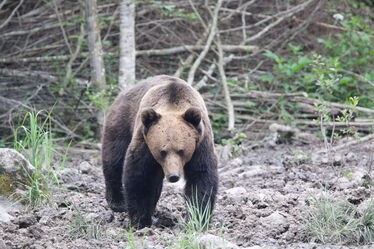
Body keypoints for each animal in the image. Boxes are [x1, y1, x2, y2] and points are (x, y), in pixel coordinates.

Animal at [101, 74, 219, 228]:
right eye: (162, 151)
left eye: (181, 151)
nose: (173, 176)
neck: (173, 105)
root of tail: (123, 93)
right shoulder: (145, 142)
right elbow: (140, 176)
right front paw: (140, 220)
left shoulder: (201, 144)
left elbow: (201, 177)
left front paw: (197, 219)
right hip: (121, 122)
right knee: (114, 159)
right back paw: (118, 202)